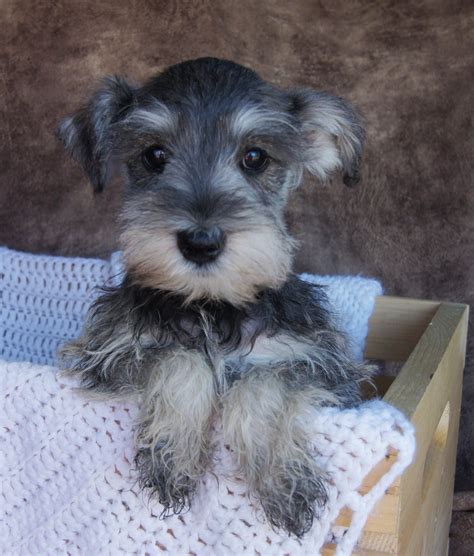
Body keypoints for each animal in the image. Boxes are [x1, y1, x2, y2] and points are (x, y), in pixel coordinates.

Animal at [58, 57, 370, 540]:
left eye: (255, 157)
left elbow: (265, 383)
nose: (200, 243)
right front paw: (174, 453)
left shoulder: (319, 364)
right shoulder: (108, 354)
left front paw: (284, 482)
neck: (213, 307)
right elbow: (179, 359)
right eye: (154, 155)